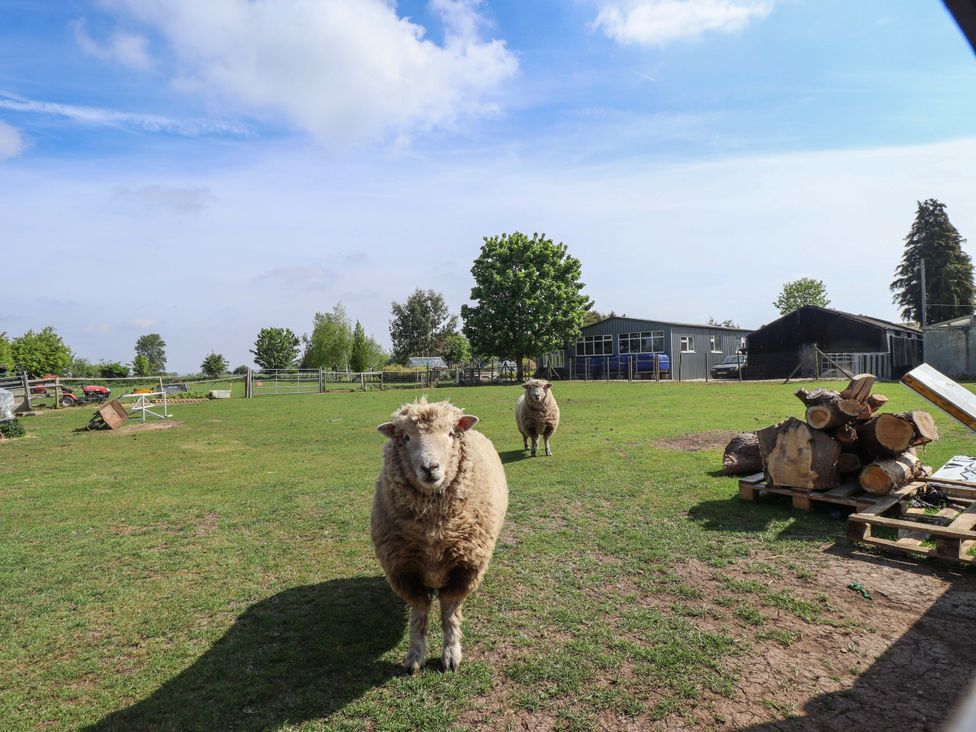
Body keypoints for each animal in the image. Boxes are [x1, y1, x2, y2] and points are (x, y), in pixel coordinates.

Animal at [371, 396, 508, 674]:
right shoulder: (404, 572)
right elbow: (419, 616)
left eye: (450, 433)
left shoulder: (464, 569)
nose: (430, 468)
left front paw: (451, 654)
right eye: (406, 437)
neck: (434, 530)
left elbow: (449, 614)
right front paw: (414, 656)